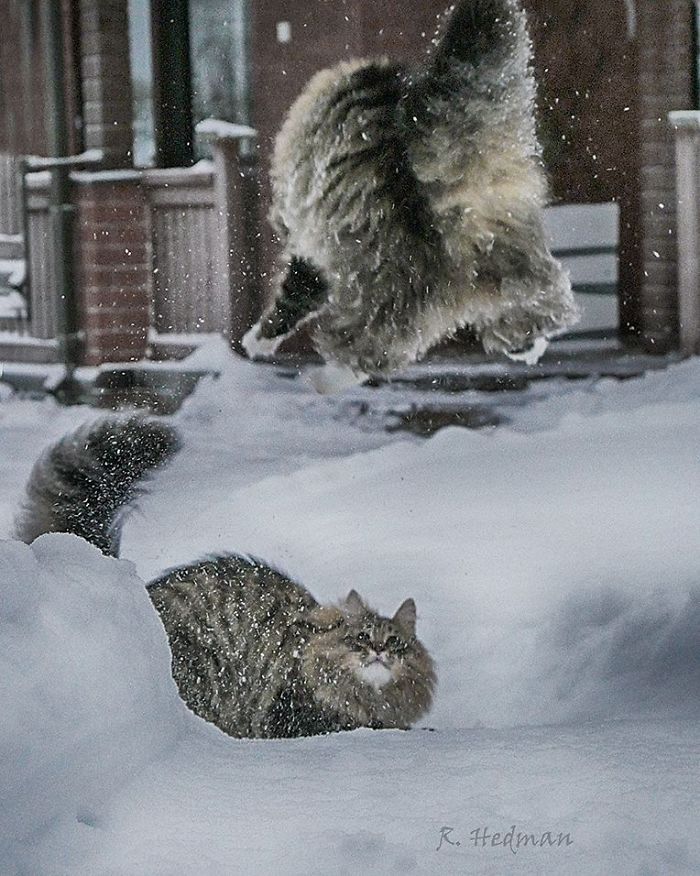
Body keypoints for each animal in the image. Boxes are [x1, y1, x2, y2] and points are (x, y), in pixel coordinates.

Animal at [243, 0, 576, 384]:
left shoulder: (305, 239)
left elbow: (290, 299)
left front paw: (257, 341)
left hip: (386, 273)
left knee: (373, 340)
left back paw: (329, 379)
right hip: (508, 255)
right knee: (535, 305)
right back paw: (529, 346)